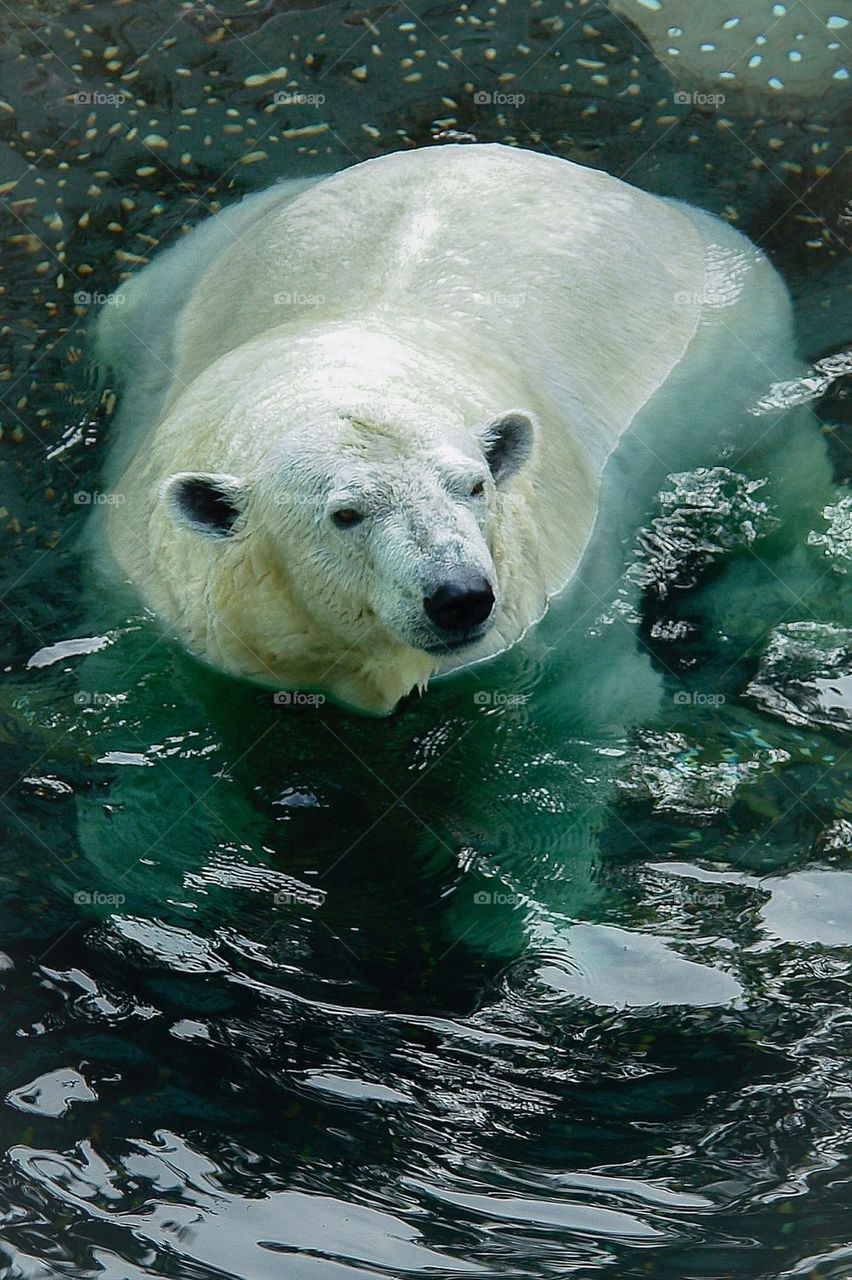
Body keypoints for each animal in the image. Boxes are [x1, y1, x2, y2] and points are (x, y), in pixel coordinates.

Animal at [92, 142, 820, 716]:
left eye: (473, 486)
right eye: (345, 515)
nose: (459, 597)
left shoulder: (553, 596)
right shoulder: (167, 602)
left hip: (731, 336)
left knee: (782, 468)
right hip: (185, 271)